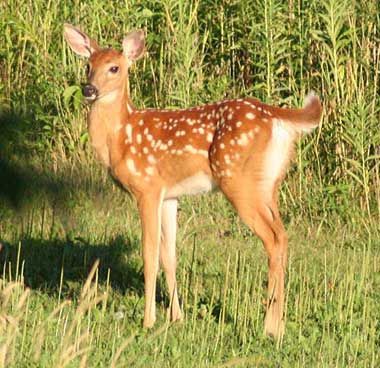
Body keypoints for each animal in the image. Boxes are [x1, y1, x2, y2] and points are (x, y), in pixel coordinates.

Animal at [63, 23, 322, 340]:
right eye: (88, 65)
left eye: (114, 67)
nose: (89, 89)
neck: (121, 137)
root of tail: (275, 115)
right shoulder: (170, 195)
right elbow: (169, 255)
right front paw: (177, 317)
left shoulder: (147, 188)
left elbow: (149, 254)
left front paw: (148, 321)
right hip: (268, 186)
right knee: (282, 235)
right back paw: (279, 324)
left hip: (239, 181)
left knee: (272, 239)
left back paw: (269, 327)